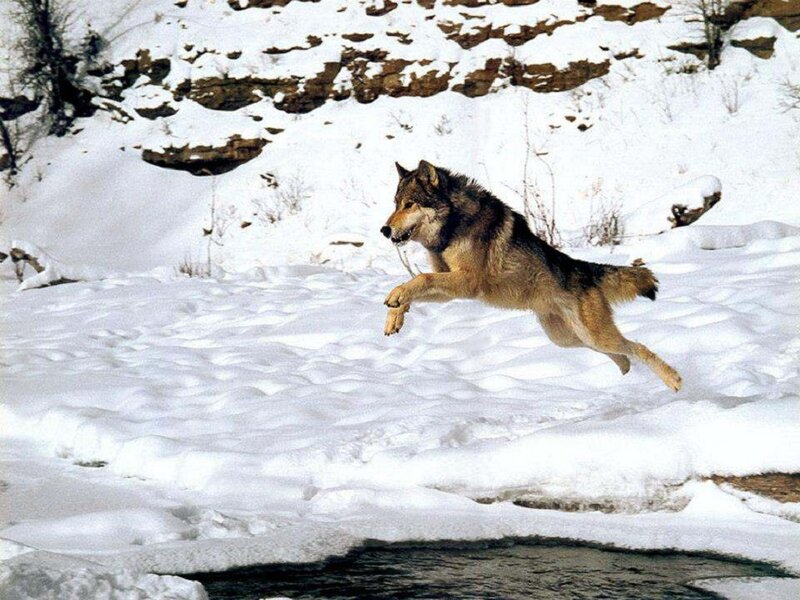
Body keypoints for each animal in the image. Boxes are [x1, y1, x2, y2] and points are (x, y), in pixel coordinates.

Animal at [381, 160, 682, 392]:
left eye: (409, 204)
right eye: (395, 204)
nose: (384, 230)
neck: (453, 225)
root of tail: (583, 268)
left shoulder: (468, 282)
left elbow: (420, 280)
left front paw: (396, 298)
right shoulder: (447, 279)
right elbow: (414, 286)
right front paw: (395, 315)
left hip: (592, 335)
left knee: (637, 347)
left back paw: (673, 380)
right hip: (569, 339)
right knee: (622, 354)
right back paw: (627, 373)